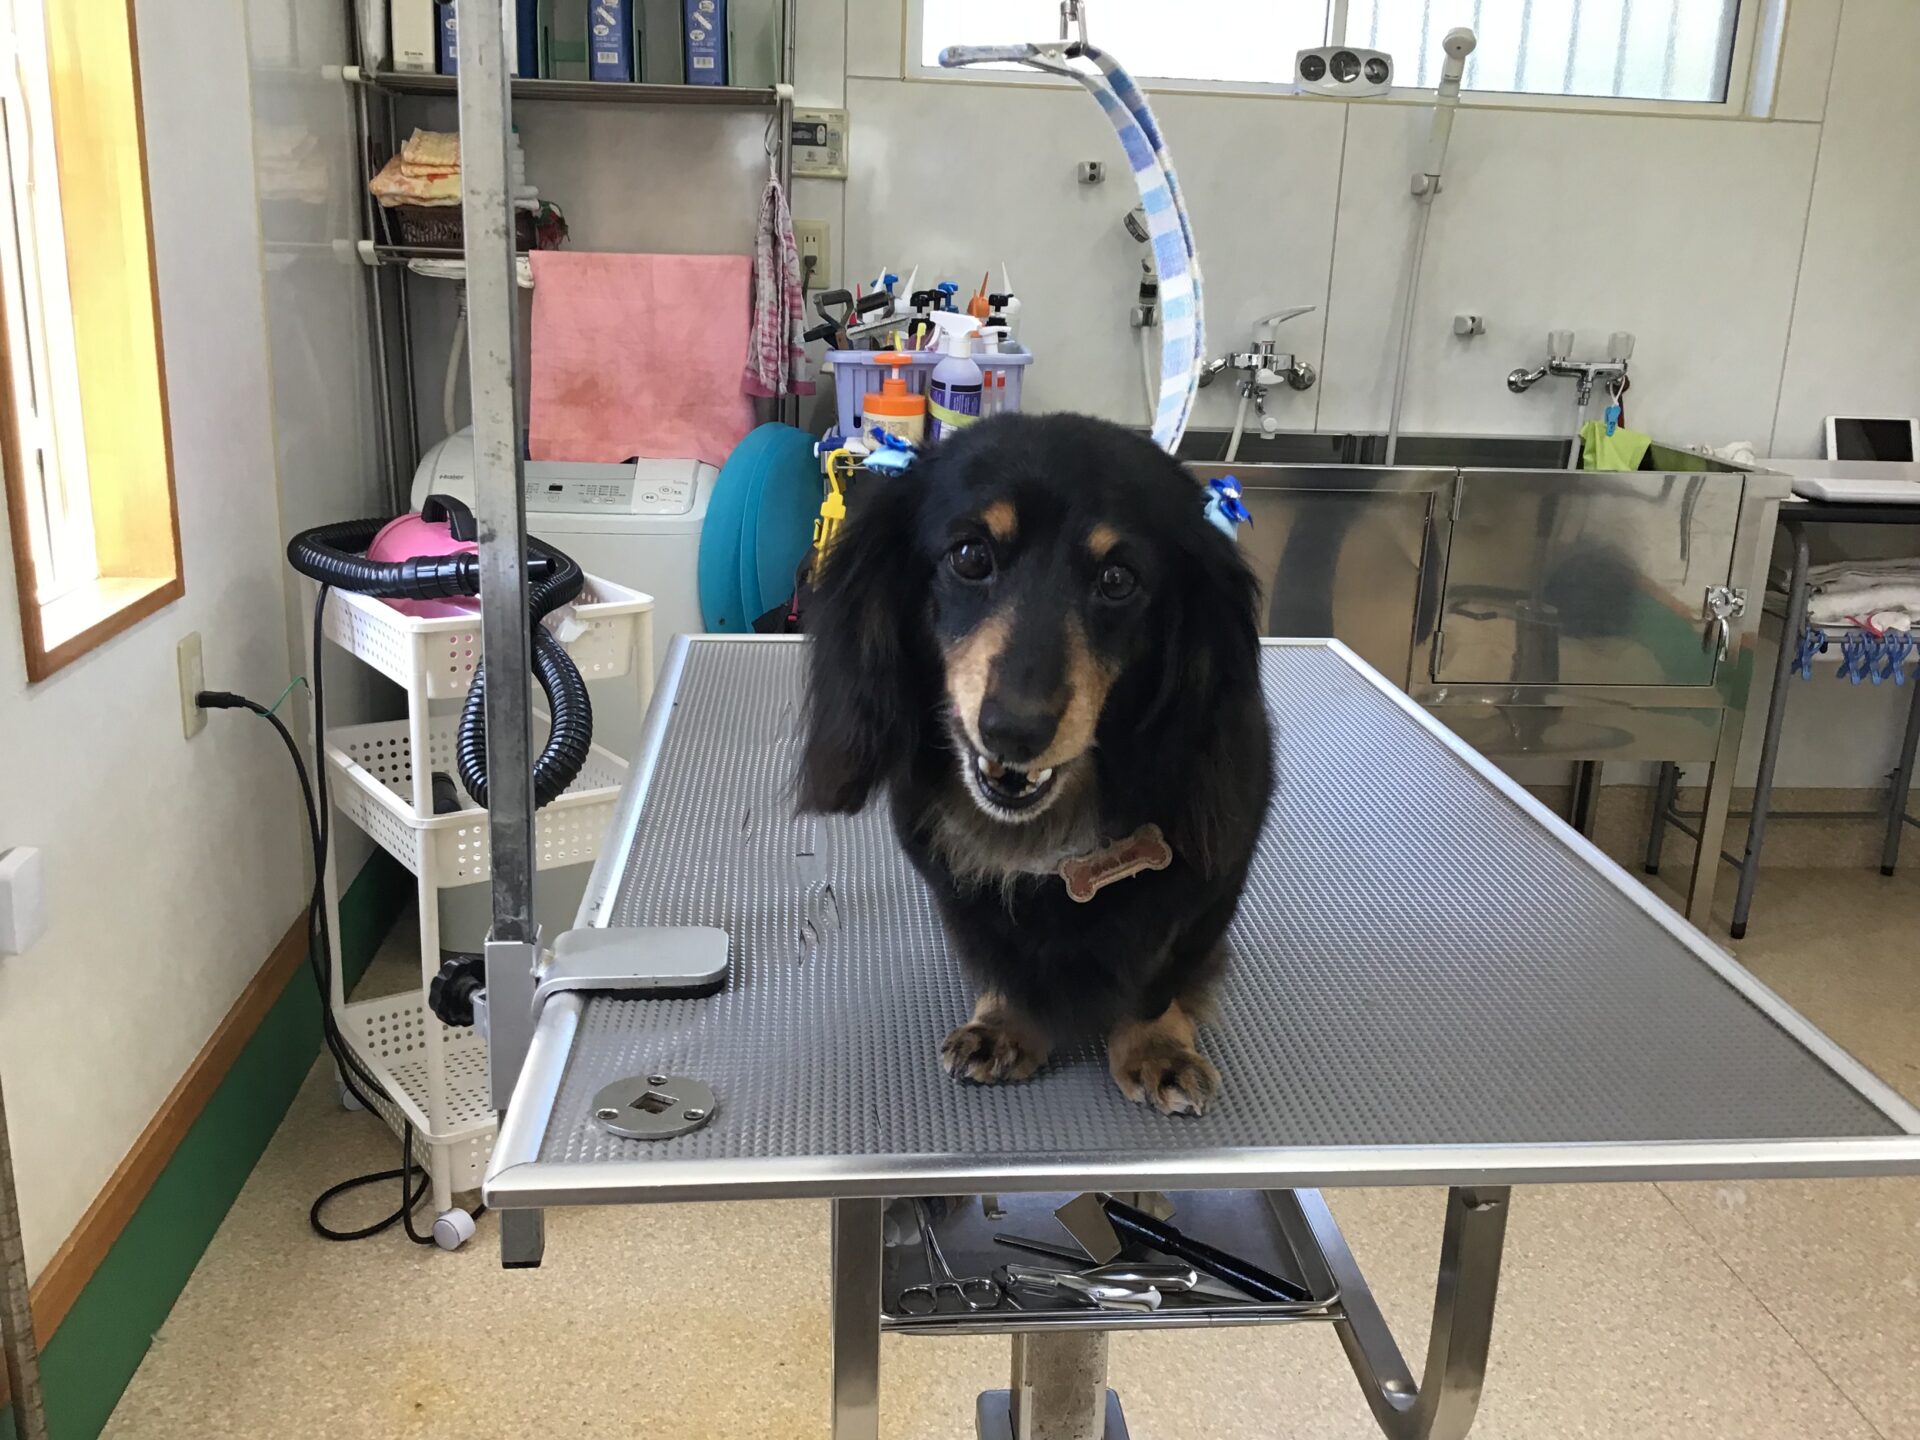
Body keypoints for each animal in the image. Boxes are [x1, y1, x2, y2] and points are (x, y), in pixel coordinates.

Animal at [799, 413, 1274, 1116]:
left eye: (1117, 579)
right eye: (970, 556)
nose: (1014, 731)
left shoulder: (1205, 890)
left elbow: (1161, 973)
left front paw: (1157, 1045)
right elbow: (999, 956)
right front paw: (1005, 1024)